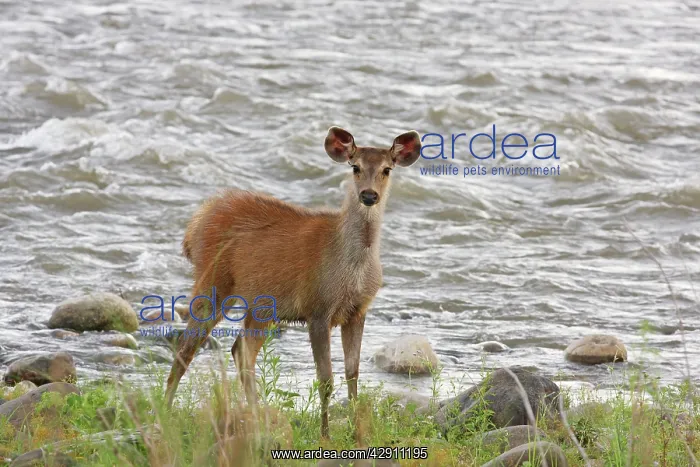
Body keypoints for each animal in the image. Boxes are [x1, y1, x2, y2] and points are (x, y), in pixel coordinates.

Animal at [164, 126, 422, 439]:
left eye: (387, 169)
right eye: (355, 167)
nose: (369, 195)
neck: (353, 268)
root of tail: (195, 224)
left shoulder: (357, 311)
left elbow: (353, 373)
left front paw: (357, 432)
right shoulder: (318, 309)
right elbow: (325, 379)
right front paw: (325, 434)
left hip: (261, 305)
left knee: (241, 351)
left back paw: (256, 417)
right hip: (213, 283)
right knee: (186, 349)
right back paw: (162, 412)